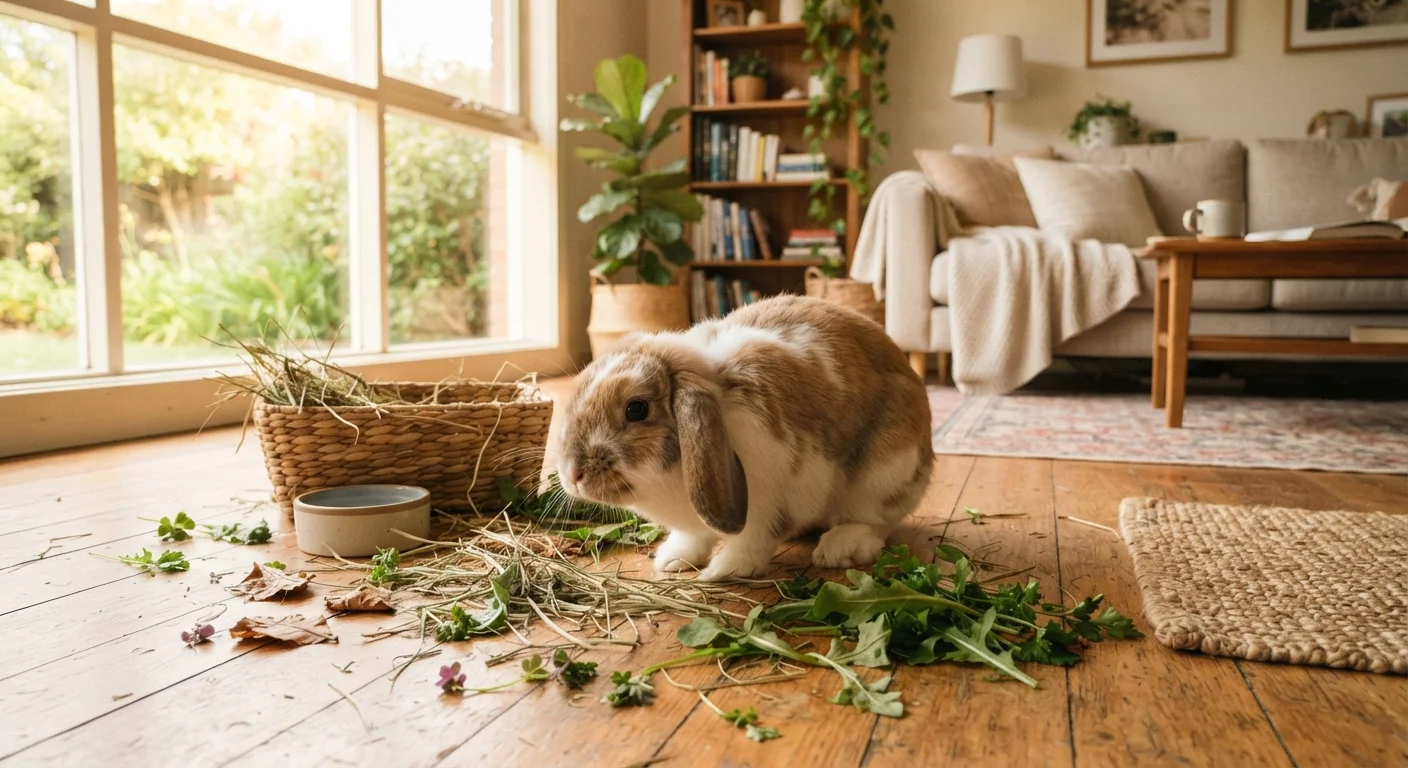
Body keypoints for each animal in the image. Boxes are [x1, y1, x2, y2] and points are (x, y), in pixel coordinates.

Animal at [556, 294, 934, 581]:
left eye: (636, 409)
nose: (573, 475)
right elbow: (693, 538)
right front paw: (672, 559)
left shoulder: (777, 498)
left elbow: (751, 542)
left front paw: (722, 571)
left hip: (884, 473)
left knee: (876, 522)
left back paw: (839, 547)